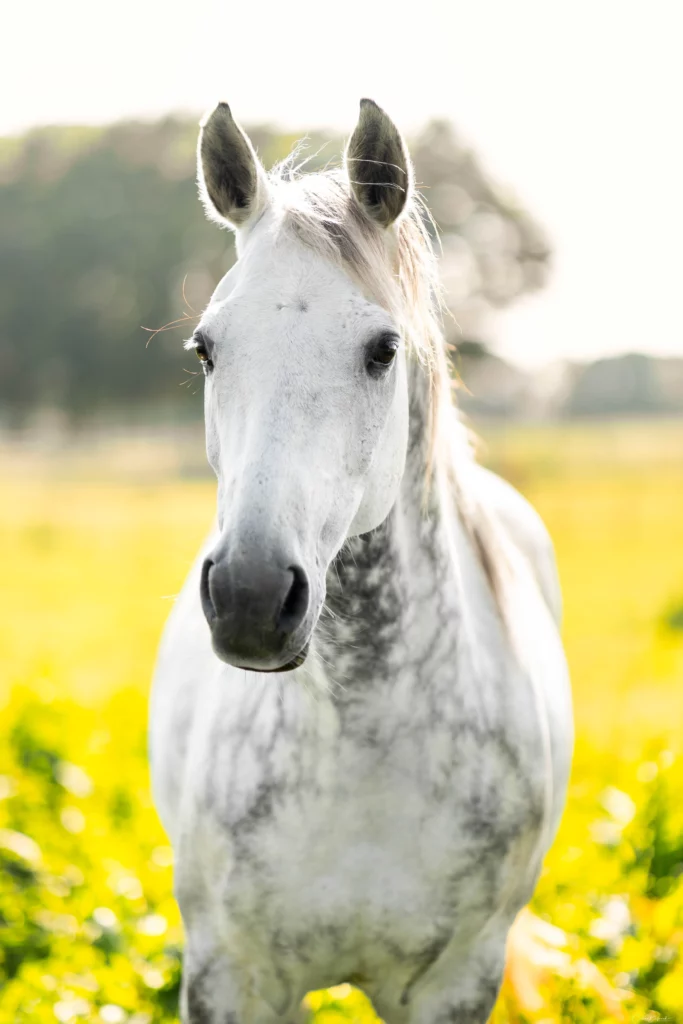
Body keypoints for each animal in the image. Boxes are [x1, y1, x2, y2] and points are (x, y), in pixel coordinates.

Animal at [152, 97, 573, 1024]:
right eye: (206, 349)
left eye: (382, 350)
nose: (249, 596)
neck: (362, 750)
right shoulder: (231, 976)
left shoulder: (454, 983)